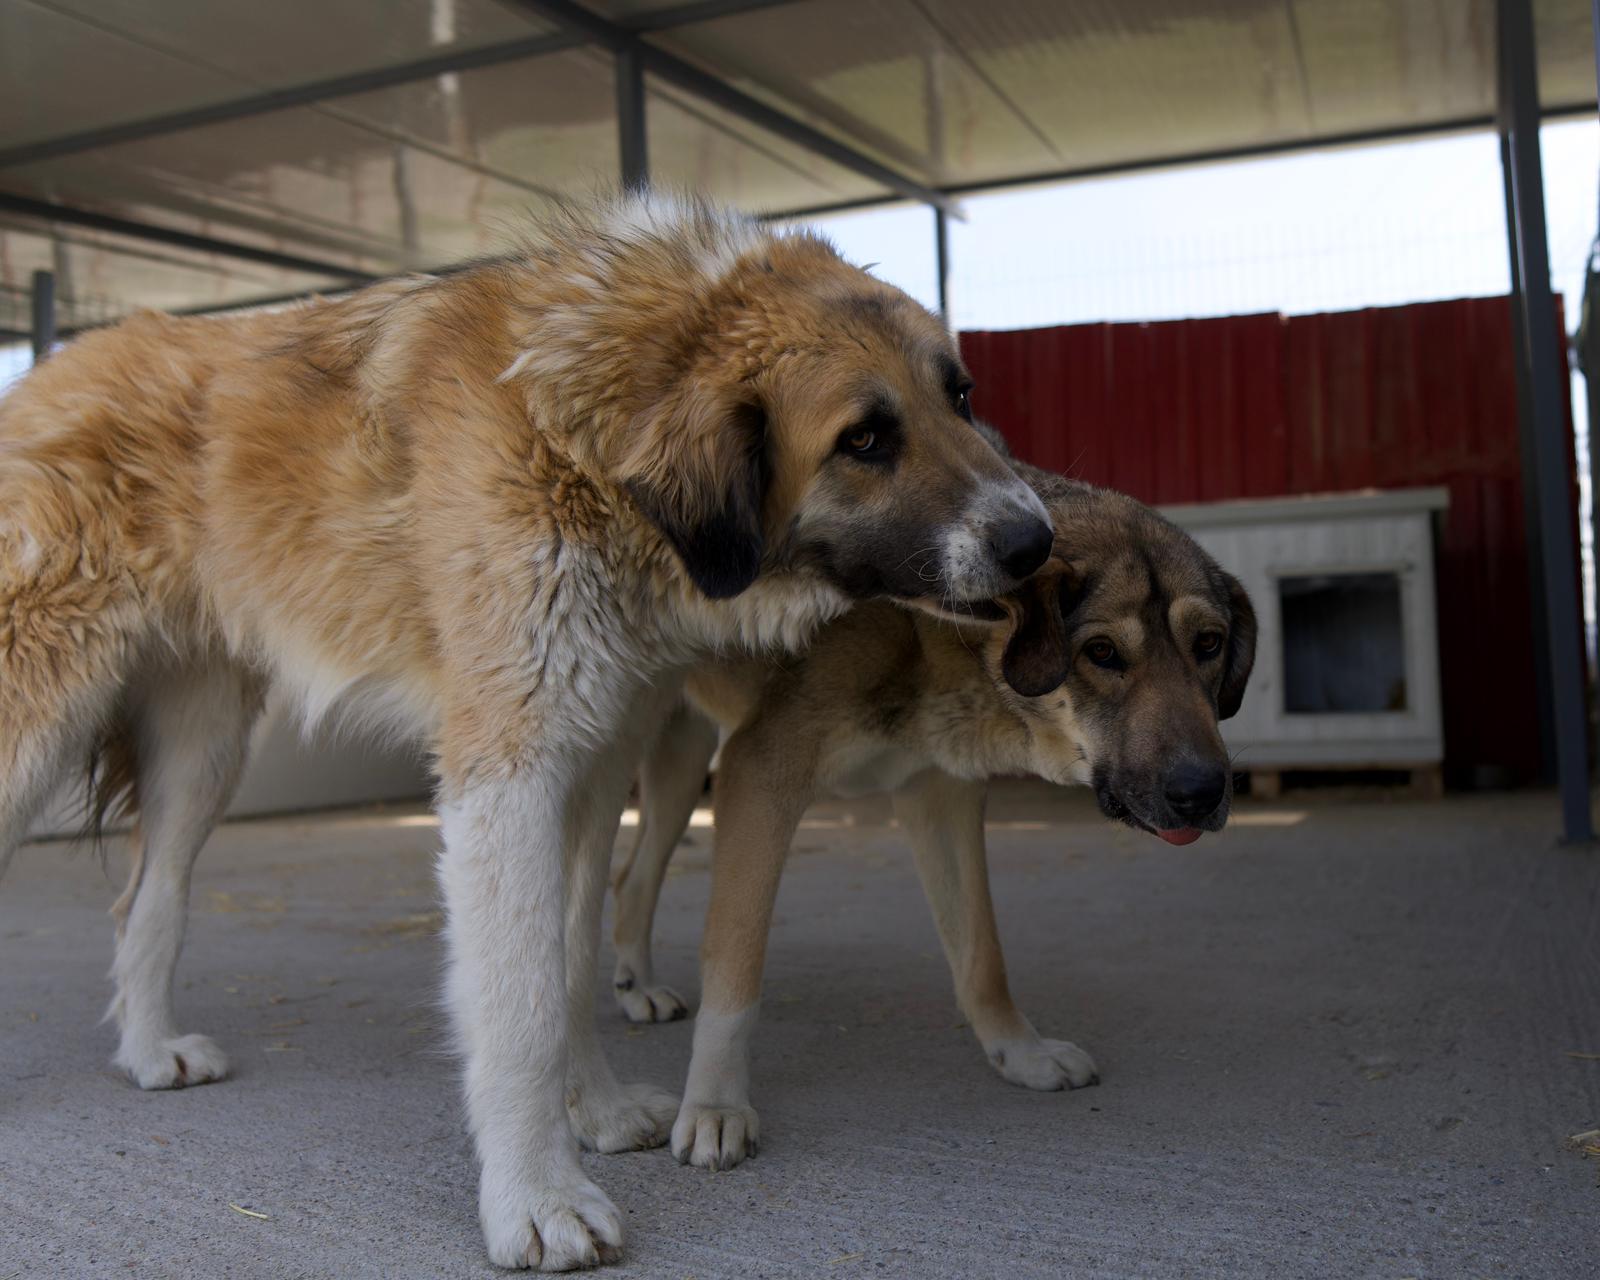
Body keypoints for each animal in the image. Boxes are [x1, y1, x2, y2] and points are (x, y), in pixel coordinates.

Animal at [0, 193, 1055, 1270]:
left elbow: (573, 955)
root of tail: (50, 371)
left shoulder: (593, 758)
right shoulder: (507, 766)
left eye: (960, 395)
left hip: (203, 748)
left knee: (147, 896)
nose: (1036, 541)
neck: (585, 413)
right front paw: (535, 1198)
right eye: (865, 439)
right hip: (37, 719)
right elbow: (521, 1003)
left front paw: (592, 1112)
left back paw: (148, 1051)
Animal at [607, 454, 1257, 1169]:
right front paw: (715, 1105)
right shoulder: (761, 771)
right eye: (1103, 652)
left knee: (632, 876)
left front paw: (1019, 1052)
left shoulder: (940, 795)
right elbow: (735, 959)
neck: (932, 628)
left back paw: (635, 986)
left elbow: (981, 954)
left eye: (1209, 643)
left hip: (681, 757)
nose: (1203, 792)